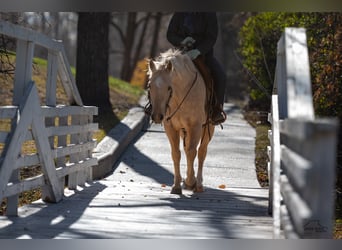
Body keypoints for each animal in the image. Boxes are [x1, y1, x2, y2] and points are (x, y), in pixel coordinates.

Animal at [146, 48, 214, 193]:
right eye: (150, 86)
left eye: (168, 87)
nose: (157, 116)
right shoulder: (171, 127)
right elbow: (176, 154)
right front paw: (177, 185)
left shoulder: (195, 127)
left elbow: (192, 152)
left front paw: (190, 181)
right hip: (184, 131)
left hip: (209, 128)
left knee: (201, 152)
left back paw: (198, 184)